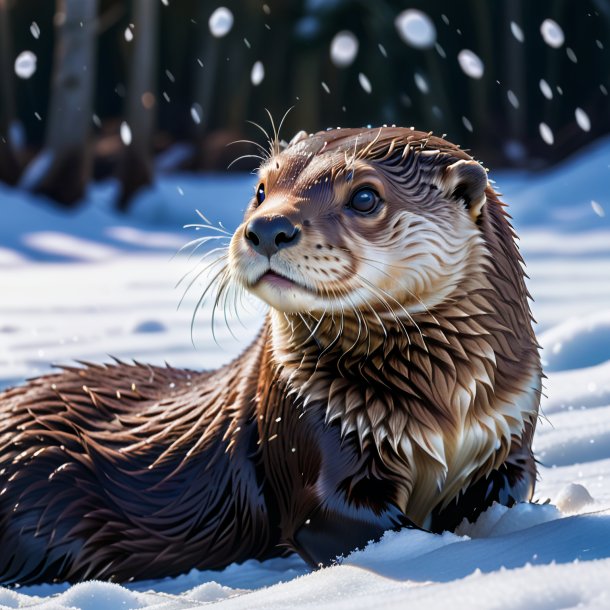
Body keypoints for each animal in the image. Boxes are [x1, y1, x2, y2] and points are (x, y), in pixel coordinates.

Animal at [1, 126, 540, 580]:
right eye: (261, 189)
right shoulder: (308, 420)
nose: (266, 228)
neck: (443, 409)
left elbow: (516, 486)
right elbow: (340, 519)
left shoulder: (509, 426)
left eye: (365, 196)